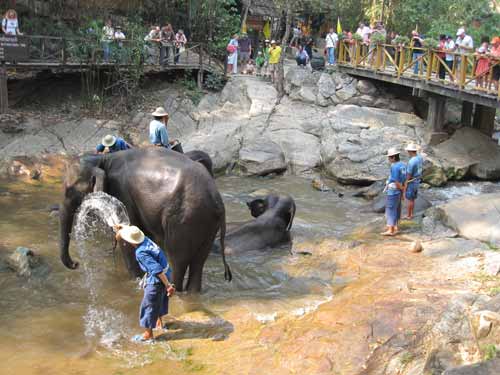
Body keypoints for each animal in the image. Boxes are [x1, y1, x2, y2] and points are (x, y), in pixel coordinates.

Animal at [59, 148, 231, 294]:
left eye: (69, 190)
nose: (75, 264)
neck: (101, 159)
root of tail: (216, 199)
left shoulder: (122, 193)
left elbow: (127, 235)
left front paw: (137, 280)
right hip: (207, 223)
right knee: (199, 261)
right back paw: (193, 293)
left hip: (184, 218)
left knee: (178, 259)